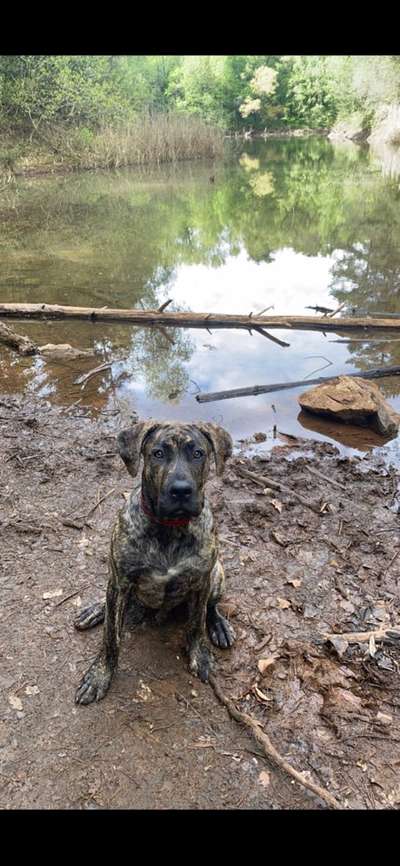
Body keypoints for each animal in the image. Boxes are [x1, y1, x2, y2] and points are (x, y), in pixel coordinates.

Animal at [74, 418, 234, 704]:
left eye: (198, 453)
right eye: (158, 454)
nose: (181, 491)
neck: (169, 529)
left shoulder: (201, 581)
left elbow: (196, 624)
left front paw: (200, 655)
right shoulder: (120, 581)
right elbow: (111, 637)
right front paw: (99, 675)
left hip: (217, 573)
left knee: (211, 607)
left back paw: (219, 626)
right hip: (115, 583)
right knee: (110, 602)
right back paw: (96, 610)